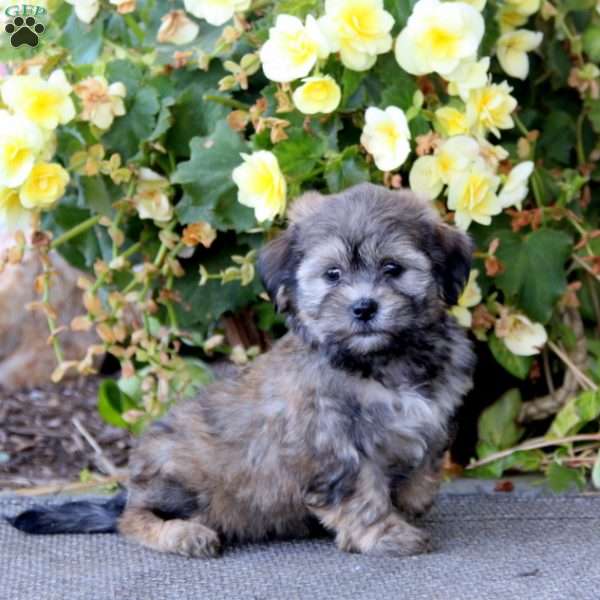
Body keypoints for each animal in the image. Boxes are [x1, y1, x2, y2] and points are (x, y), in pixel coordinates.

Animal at [9, 183, 476, 556]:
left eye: (393, 269)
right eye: (333, 275)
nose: (364, 307)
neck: (381, 360)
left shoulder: (435, 412)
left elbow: (427, 457)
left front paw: (412, 500)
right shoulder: (334, 449)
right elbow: (363, 496)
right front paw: (387, 534)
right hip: (176, 471)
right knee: (134, 518)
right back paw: (183, 535)